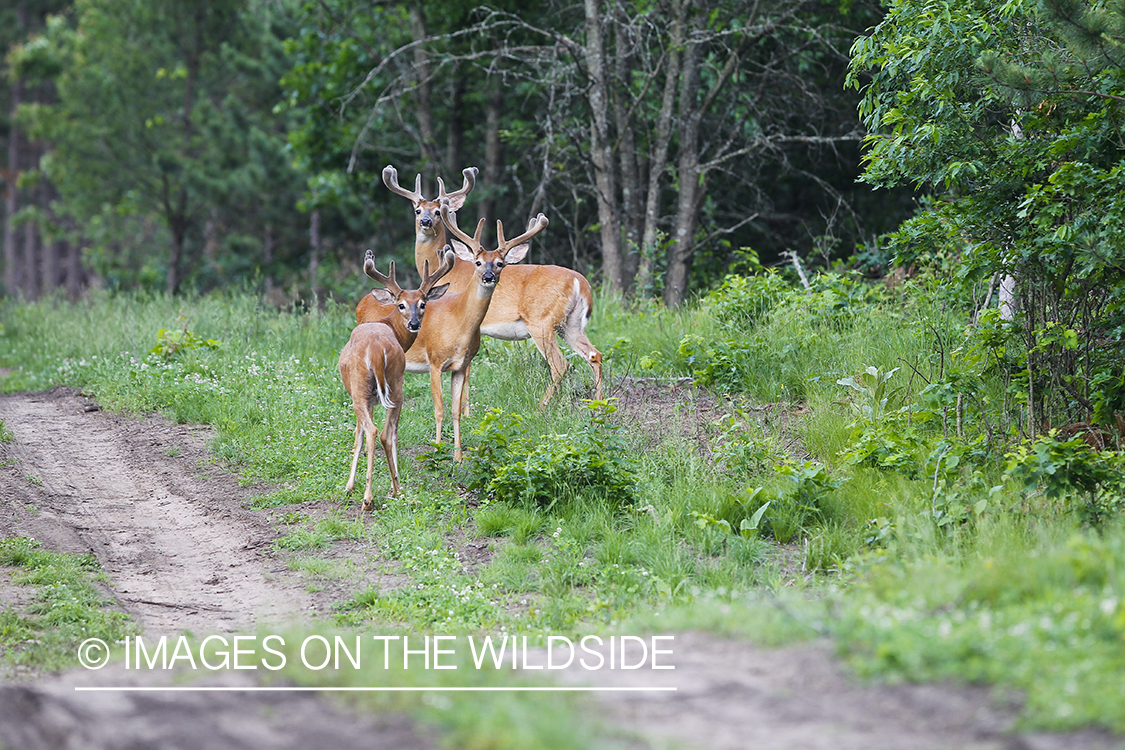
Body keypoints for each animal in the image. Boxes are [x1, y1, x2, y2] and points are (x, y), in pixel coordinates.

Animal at [337, 251, 452, 510]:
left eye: (423, 303)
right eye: (401, 304)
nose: (414, 323)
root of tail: (376, 350)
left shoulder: (367, 399)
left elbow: (360, 433)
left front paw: (350, 486)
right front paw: (350, 485)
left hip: (373, 387)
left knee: (378, 432)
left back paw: (375, 495)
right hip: (391, 386)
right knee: (384, 433)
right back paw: (387, 490)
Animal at [355, 199, 549, 461]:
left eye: (500, 264)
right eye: (478, 262)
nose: (489, 277)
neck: (460, 325)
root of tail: (361, 303)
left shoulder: (460, 366)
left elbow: (456, 410)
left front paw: (458, 456)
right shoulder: (435, 361)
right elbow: (439, 409)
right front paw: (437, 450)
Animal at [364, 165, 603, 411]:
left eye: (438, 211)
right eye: (417, 210)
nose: (426, 222)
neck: (450, 271)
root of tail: (581, 282)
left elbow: (466, 370)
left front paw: (466, 410)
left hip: (542, 321)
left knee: (560, 364)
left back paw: (541, 408)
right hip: (570, 324)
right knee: (594, 355)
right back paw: (599, 404)